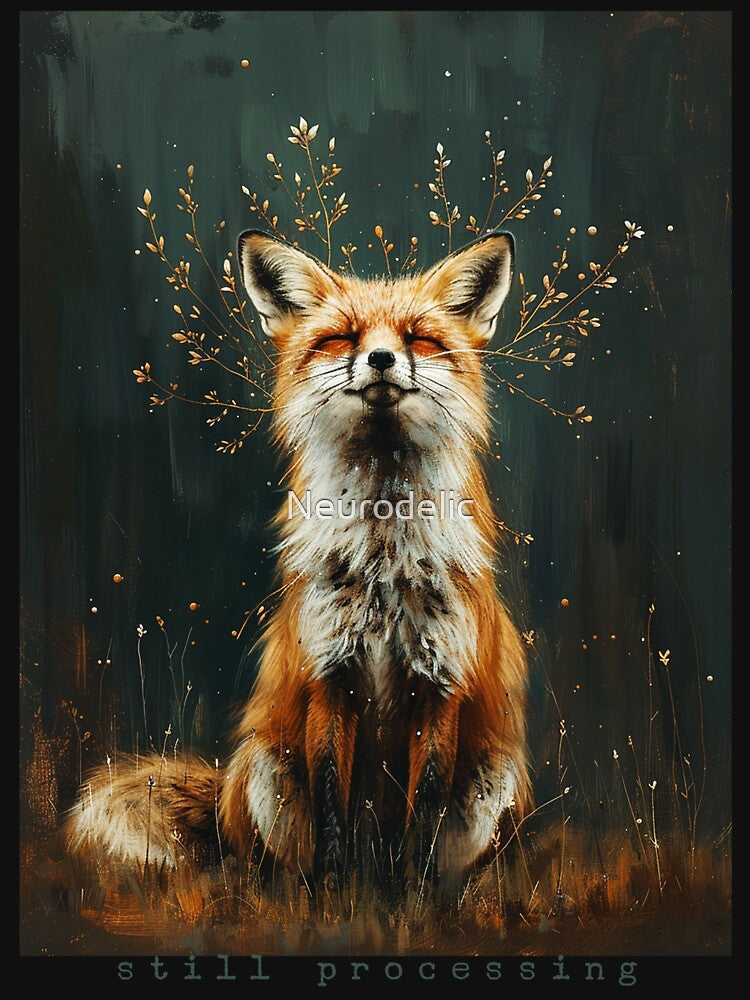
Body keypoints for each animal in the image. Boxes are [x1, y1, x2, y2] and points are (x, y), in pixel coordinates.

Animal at [65, 228, 531, 882]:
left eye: (418, 338)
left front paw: (412, 898)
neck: (384, 557)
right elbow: (332, 803)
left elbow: (425, 814)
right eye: (341, 338)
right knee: (262, 863)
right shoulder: (329, 676)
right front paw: (336, 894)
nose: (381, 359)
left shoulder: (439, 681)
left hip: (495, 778)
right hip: (265, 771)